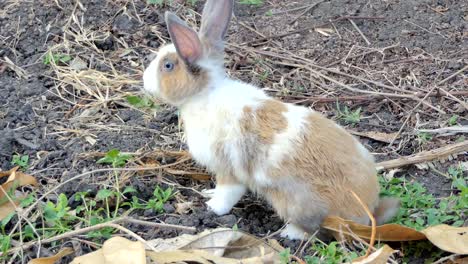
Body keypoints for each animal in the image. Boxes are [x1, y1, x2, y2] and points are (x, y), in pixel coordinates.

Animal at [143, 0, 398, 239]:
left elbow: (227, 194)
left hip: (296, 204)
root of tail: (366, 213)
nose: (144, 80)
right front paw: (209, 194)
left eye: (167, 65)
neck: (204, 93)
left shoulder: (228, 169)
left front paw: (211, 208)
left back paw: (289, 234)